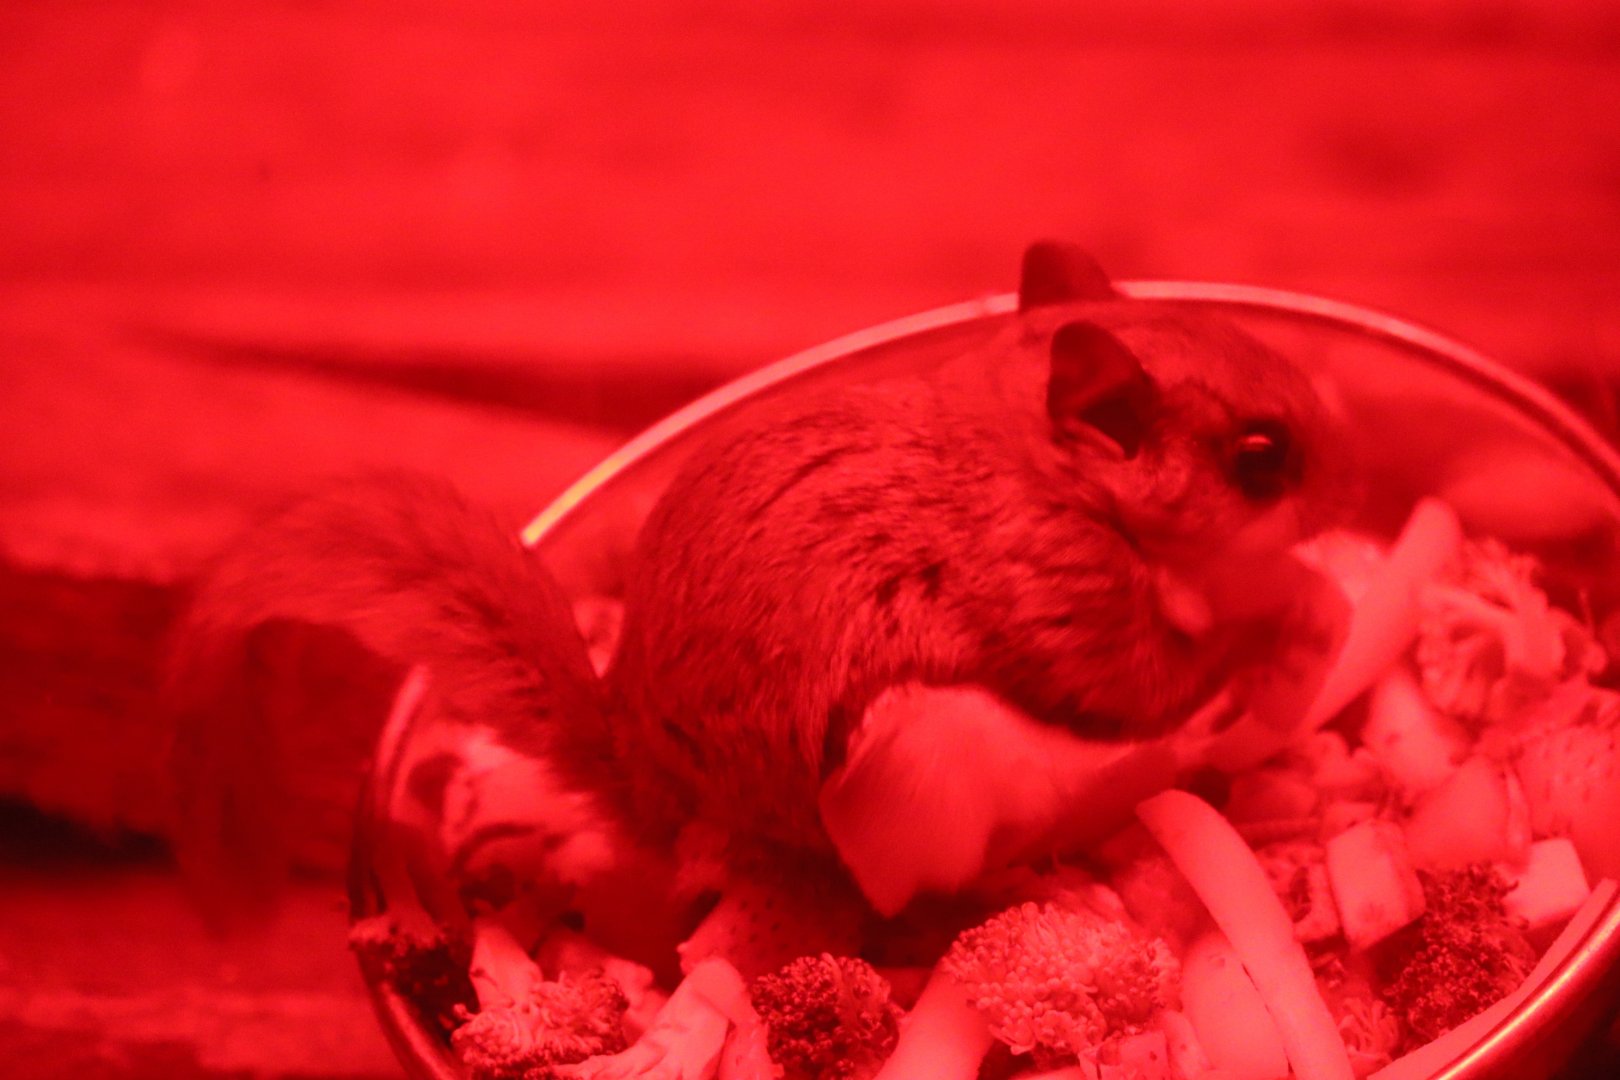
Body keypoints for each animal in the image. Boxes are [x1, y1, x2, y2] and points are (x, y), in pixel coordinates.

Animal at [162, 241, 1348, 944]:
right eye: (1261, 455)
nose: (1350, 488)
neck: (1038, 462)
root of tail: (660, 798)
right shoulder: (1061, 592)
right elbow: (1150, 681)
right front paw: (1294, 606)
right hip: (912, 775)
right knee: (914, 895)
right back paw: (1024, 877)